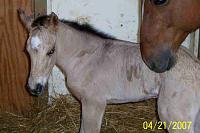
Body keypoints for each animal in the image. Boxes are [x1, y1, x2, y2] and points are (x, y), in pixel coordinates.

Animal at [19, 9, 200, 132]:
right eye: (27, 51)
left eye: (51, 51)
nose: (34, 88)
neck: (85, 59)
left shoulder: (94, 104)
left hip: (174, 117)